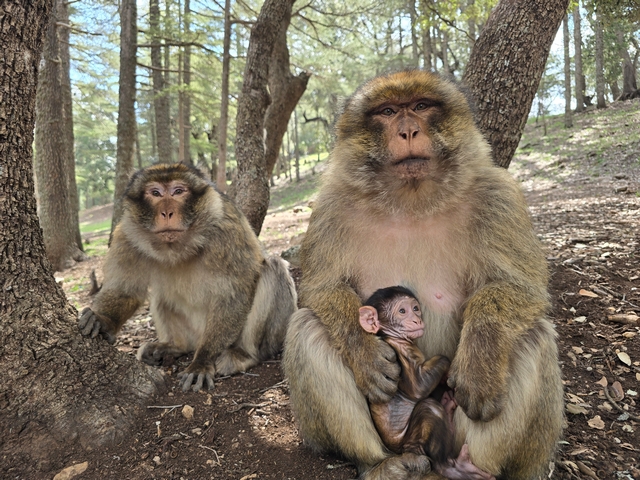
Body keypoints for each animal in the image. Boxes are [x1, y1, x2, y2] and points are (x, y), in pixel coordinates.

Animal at [78, 163, 297, 392]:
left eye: (178, 191)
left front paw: (202, 361)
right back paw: (174, 347)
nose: (167, 212)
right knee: (160, 295)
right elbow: (125, 290)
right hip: (192, 334)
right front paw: (103, 320)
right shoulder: (127, 235)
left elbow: (233, 294)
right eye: (155, 193)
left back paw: (244, 354)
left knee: (273, 268)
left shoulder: (227, 230)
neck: (179, 246)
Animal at [360, 286, 494, 480]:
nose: (417, 319)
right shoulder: (401, 353)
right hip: (410, 445)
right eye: (402, 311)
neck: (393, 337)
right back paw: (449, 468)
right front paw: (449, 368)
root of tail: (398, 451)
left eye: (415, 308)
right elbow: (418, 387)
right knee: (430, 410)